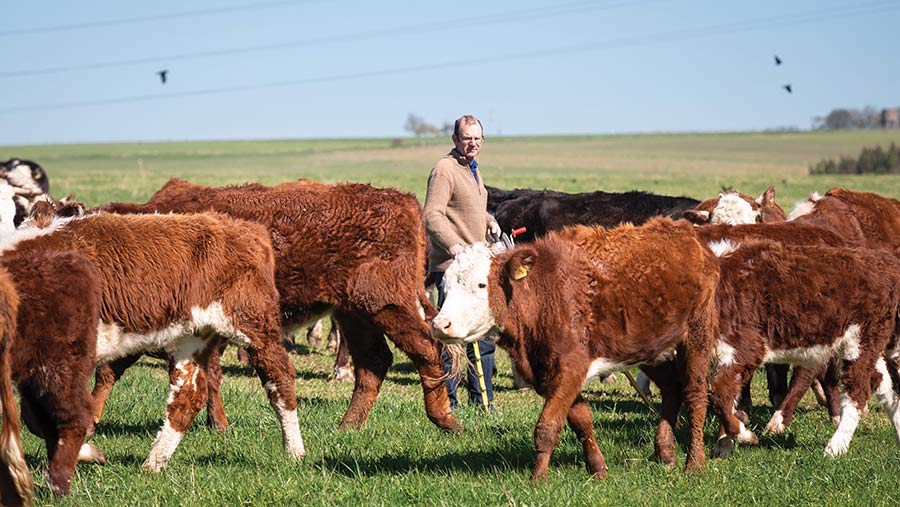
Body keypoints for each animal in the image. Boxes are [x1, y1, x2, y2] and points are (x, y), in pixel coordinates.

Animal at [0, 208, 306, 474]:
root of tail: (244, 227)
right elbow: (33, 417)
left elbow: (38, 419)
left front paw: (86, 449)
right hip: (192, 336)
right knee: (188, 394)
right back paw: (155, 462)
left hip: (251, 323)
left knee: (279, 376)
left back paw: (295, 452)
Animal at [100, 178, 458, 432]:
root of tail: (400, 199)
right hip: (354, 313)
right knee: (374, 362)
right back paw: (348, 426)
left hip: (385, 305)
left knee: (426, 349)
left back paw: (446, 420)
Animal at [428, 219, 716, 480]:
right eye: (446, 285)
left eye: (481, 284)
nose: (441, 325)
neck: (545, 293)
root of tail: (689, 234)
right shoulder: (552, 373)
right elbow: (581, 421)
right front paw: (597, 469)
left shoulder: (569, 369)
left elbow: (547, 427)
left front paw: (537, 478)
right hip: (651, 350)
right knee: (671, 390)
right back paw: (665, 452)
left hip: (696, 338)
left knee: (694, 397)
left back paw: (694, 464)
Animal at [708, 240, 900, 458]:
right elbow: (730, 394)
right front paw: (724, 443)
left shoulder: (746, 346)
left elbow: (719, 392)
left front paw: (743, 436)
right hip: (869, 344)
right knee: (885, 385)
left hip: (861, 339)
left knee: (857, 392)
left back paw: (834, 448)